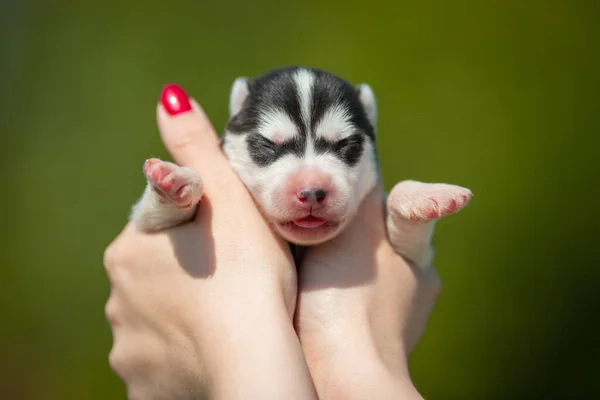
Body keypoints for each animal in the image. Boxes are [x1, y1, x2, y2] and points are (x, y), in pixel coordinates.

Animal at [131, 68, 474, 268]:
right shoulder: (146, 227)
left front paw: (424, 196)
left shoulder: (417, 260)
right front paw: (176, 181)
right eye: (269, 144)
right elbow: (155, 214)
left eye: (346, 144)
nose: (311, 192)